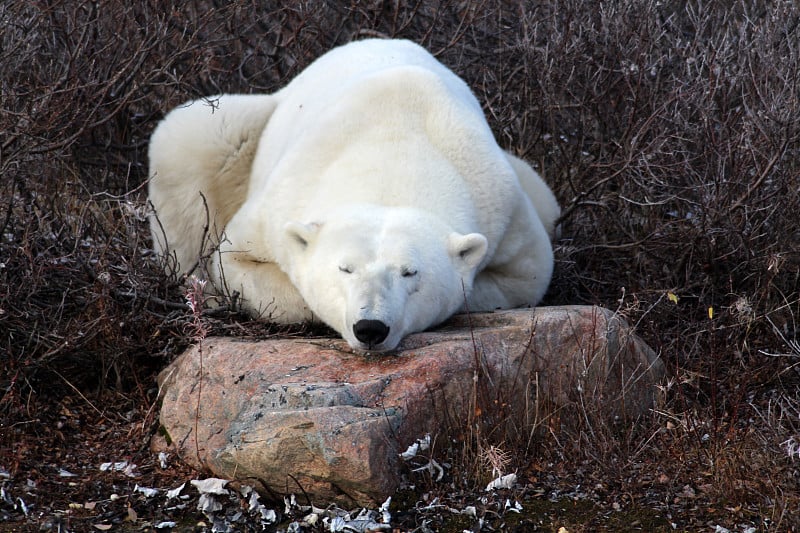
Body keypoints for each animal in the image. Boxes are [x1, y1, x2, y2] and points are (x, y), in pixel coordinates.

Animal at [152, 38, 564, 354]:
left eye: (409, 272)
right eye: (344, 268)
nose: (371, 328)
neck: (394, 152)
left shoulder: (501, 203)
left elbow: (527, 275)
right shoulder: (277, 206)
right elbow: (236, 261)